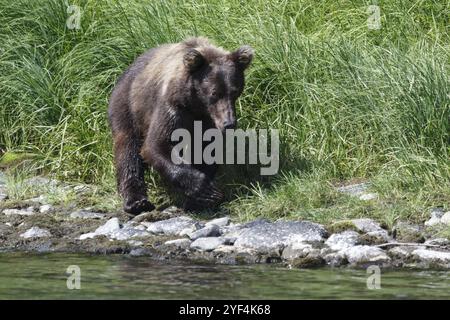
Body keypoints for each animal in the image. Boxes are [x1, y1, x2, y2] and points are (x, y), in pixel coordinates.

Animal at [108, 37, 253, 214]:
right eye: (214, 92)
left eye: (235, 91)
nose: (229, 123)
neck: (195, 105)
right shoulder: (172, 107)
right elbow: (156, 145)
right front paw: (207, 191)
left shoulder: (207, 121)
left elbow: (207, 150)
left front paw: (197, 200)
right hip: (127, 108)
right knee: (128, 149)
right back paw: (136, 201)